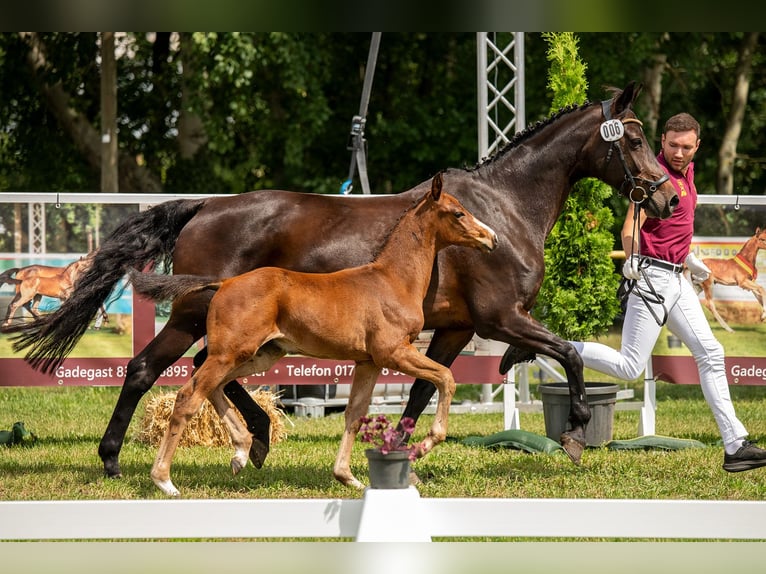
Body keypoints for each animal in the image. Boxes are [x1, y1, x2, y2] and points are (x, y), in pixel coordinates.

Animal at [129, 173, 500, 498]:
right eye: (458, 213)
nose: (492, 239)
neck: (392, 279)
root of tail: (224, 283)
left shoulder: (368, 362)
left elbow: (354, 414)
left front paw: (347, 477)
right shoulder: (394, 352)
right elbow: (446, 377)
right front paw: (425, 445)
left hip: (260, 354)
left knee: (213, 386)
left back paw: (241, 452)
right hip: (230, 352)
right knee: (189, 396)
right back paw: (164, 480)